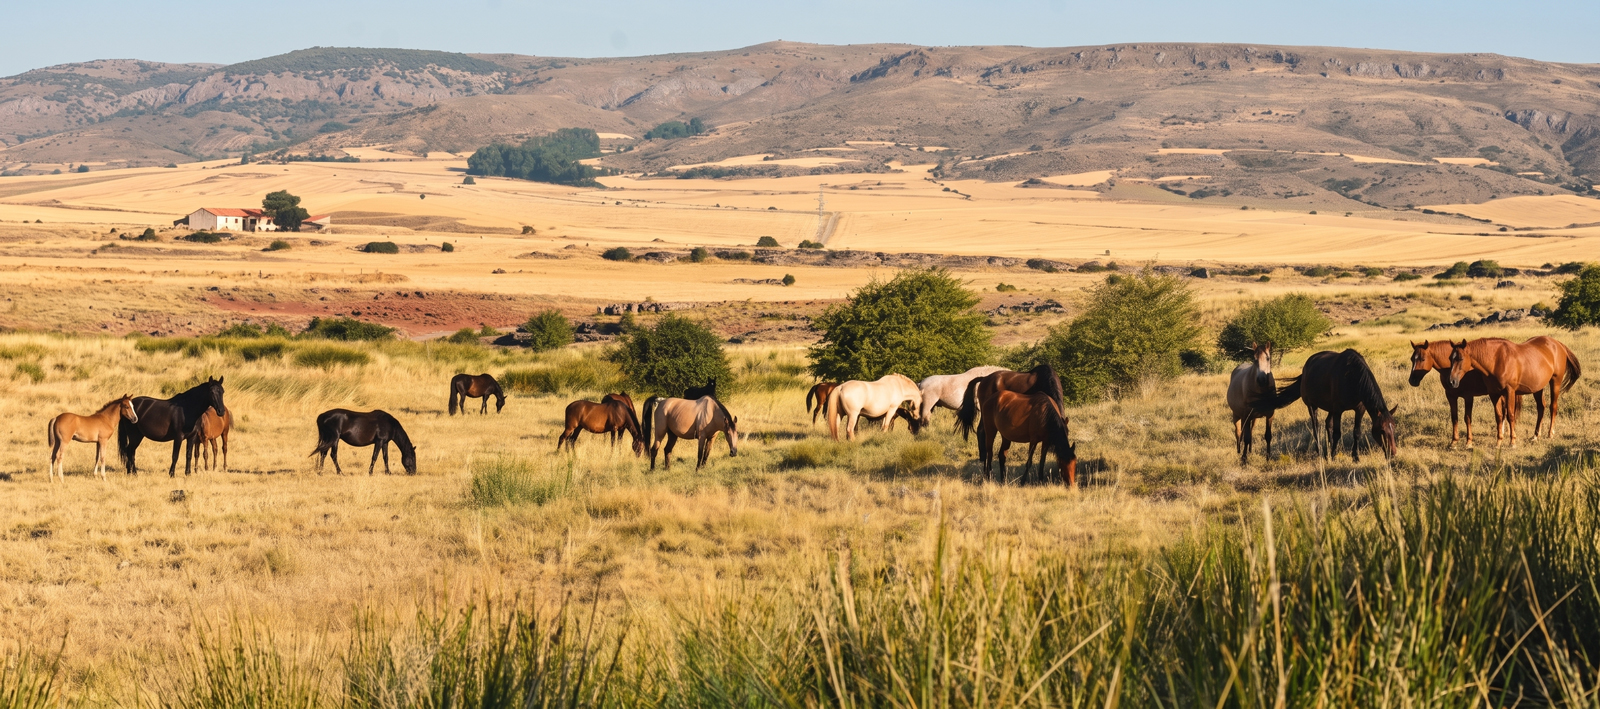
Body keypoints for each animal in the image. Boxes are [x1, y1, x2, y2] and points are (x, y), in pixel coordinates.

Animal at [1259, 349, 1396, 462]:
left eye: (1393, 427)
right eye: (1382, 430)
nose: (1393, 452)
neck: (1352, 377)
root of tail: (1305, 369)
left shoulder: (1359, 409)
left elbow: (1356, 432)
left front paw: (1355, 457)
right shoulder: (1338, 410)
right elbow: (1337, 433)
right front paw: (1334, 455)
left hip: (1330, 409)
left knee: (1327, 424)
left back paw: (1328, 450)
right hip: (1312, 406)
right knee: (1316, 426)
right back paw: (1320, 451)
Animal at [1447, 336, 1581, 447]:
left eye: (1460, 358)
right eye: (1450, 358)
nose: (1452, 381)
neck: (1497, 360)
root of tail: (1558, 344)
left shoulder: (1510, 391)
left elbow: (1510, 415)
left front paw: (1512, 441)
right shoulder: (1494, 394)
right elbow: (1499, 416)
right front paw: (1499, 441)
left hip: (1555, 382)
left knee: (1553, 406)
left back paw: (1550, 433)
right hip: (1537, 388)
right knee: (1541, 407)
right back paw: (1536, 435)